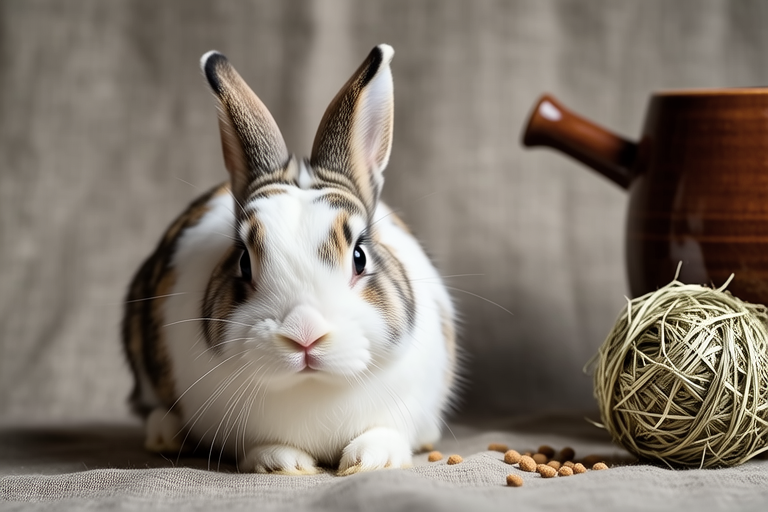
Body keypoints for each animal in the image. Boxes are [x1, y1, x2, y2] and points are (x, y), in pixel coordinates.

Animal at [121, 44, 458, 476]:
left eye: (360, 256)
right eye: (244, 263)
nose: (305, 334)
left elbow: (385, 433)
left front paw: (370, 460)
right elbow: (263, 446)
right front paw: (284, 463)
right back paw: (165, 433)